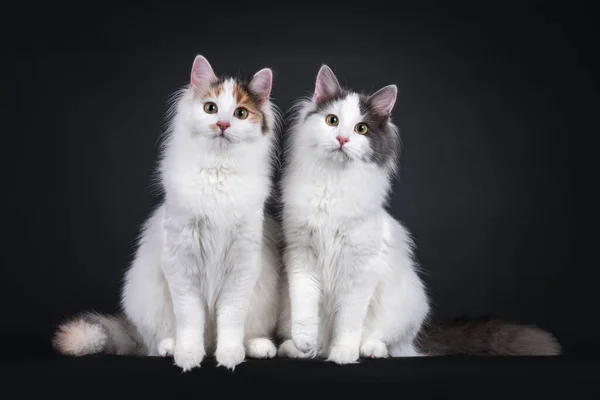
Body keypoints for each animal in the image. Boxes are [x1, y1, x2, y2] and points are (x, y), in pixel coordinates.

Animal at [52, 54, 282, 372]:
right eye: (210, 108)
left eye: (240, 113)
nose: (222, 124)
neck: (217, 173)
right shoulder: (182, 262)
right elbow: (190, 318)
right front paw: (188, 355)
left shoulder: (241, 265)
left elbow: (231, 319)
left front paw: (229, 355)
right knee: (158, 339)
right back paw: (171, 348)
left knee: (246, 332)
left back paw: (258, 347)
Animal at [276, 65, 564, 362]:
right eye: (332, 120)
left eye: (361, 129)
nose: (342, 139)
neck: (332, 186)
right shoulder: (301, 255)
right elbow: (305, 312)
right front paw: (305, 343)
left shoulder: (360, 268)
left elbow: (348, 321)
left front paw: (343, 353)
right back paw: (299, 350)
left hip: (408, 303)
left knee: (388, 342)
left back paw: (368, 350)